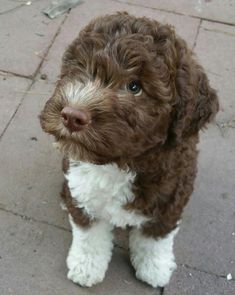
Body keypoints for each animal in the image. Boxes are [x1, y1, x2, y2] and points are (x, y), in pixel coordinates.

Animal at [40, 12, 218, 290]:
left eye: (135, 87)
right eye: (80, 69)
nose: (71, 116)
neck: (121, 163)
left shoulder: (171, 199)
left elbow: (155, 238)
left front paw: (154, 268)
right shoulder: (83, 192)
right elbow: (89, 235)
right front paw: (86, 267)